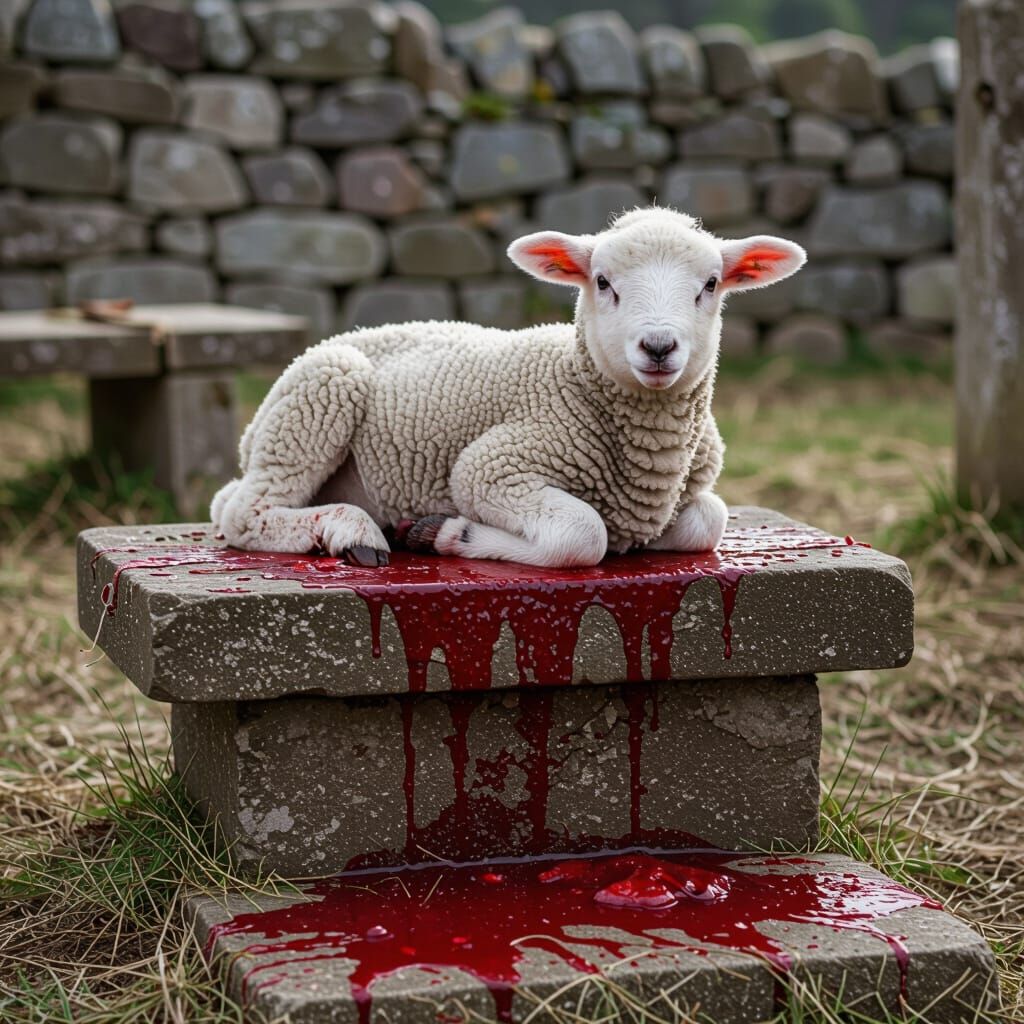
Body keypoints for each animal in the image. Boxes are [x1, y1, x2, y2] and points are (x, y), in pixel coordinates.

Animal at [211, 207, 805, 568]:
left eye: (711, 284)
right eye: (603, 282)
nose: (658, 347)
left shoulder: (693, 487)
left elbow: (710, 520)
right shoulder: (493, 464)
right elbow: (584, 535)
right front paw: (447, 534)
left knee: (231, 501)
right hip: (320, 391)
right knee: (246, 512)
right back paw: (350, 530)